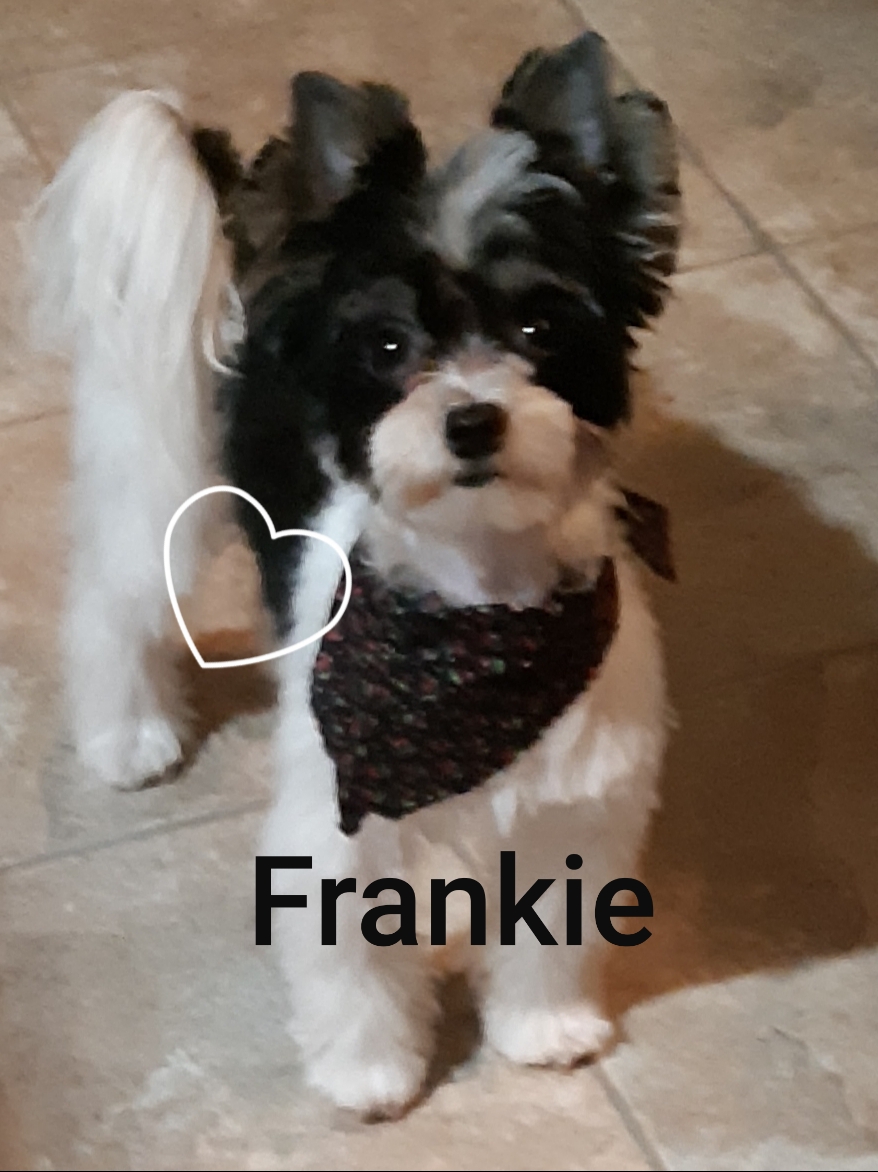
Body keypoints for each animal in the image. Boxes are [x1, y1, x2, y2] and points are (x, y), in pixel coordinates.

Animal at [31, 31, 680, 1116]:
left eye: (541, 329)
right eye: (386, 343)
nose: (472, 418)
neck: (470, 613)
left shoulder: (574, 796)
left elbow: (553, 919)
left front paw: (542, 1028)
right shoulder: (336, 808)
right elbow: (351, 949)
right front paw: (368, 1072)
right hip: (161, 464)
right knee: (111, 600)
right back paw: (129, 734)